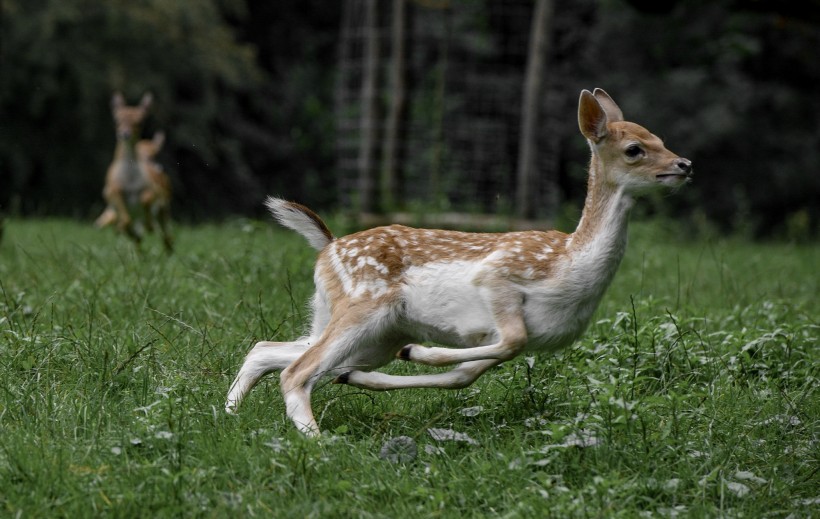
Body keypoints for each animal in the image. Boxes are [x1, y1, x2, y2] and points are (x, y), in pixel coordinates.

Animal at [96, 93, 173, 256]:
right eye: (117, 120)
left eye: (140, 121)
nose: (125, 134)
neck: (130, 180)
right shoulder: (111, 190)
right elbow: (125, 219)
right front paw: (122, 228)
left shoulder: (154, 191)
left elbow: (146, 198)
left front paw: (149, 225)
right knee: (135, 232)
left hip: (164, 209)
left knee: (166, 233)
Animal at [224, 88, 692, 434]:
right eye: (634, 149)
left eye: (660, 138)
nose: (684, 164)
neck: (571, 266)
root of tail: (329, 246)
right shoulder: (498, 277)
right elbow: (508, 340)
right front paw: (420, 353)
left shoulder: (526, 338)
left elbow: (465, 375)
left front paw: (377, 372)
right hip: (363, 306)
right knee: (296, 371)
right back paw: (316, 440)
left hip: (367, 331)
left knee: (269, 350)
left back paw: (231, 412)